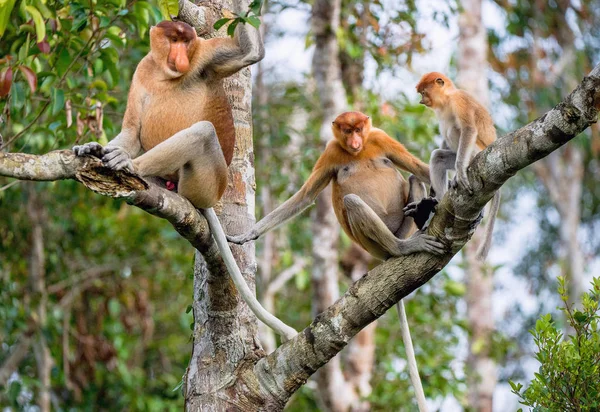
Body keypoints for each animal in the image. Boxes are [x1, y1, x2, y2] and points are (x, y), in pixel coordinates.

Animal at [72, 18, 298, 342]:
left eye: (186, 41)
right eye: (174, 39)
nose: (180, 56)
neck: (164, 74)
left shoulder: (204, 56)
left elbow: (248, 53)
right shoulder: (142, 71)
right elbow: (131, 131)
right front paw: (93, 147)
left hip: (205, 182)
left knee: (203, 131)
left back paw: (129, 165)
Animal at [227, 111, 442, 410]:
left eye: (359, 129)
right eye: (347, 130)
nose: (354, 141)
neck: (359, 151)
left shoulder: (380, 137)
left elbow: (420, 169)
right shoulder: (331, 153)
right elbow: (305, 196)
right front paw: (248, 234)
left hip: (401, 225)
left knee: (412, 178)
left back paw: (422, 215)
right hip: (372, 243)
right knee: (352, 201)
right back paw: (402, 248)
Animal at [412, 71, 502, 260]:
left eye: (424, 92)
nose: (421, 101)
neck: (447, 98)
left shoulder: (459, 100)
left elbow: (468, 129)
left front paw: (460, 171)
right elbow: (443, 145)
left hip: (476, 152)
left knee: (455, 129)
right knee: (438, 157)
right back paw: (437, 204)